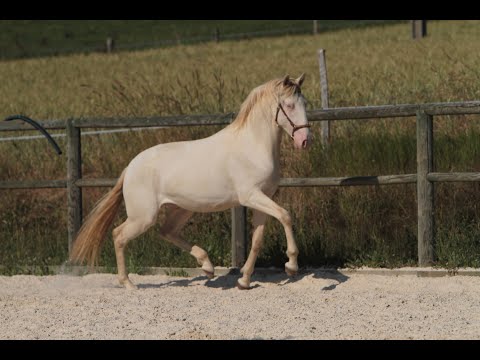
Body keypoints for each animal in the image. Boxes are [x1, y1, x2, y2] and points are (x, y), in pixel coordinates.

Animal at [70, 74, 312, 290]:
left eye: (305, 104)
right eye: (289, 105)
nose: (304, 141)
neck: (253, 147)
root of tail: (130, 168)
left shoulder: (263, 198)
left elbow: (257, 240)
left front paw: (244, 281)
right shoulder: (251, 196)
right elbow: (285, 216)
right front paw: (291, 265)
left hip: (181, 209)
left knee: (166, 232)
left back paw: (207, 266)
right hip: (144, 216)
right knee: (119, 235)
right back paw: (129, 284)